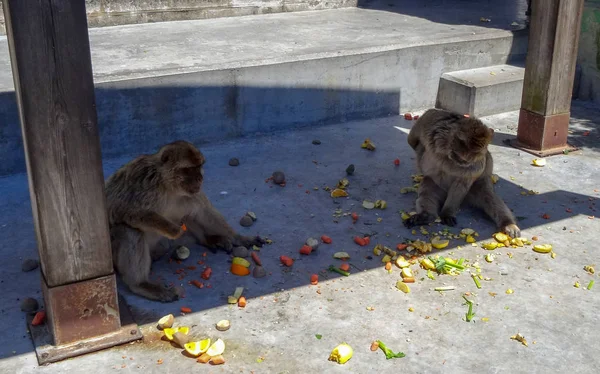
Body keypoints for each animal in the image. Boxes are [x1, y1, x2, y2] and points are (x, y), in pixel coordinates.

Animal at [105, 140, 264, 300]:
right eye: (188, 169)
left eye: (199, 167)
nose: (200, 178)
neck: (168, 187)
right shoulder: (143, 184)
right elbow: (122, 212)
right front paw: (172, 229)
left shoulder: (193, 193)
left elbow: (204, 213)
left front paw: (239, 238)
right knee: (129, 231)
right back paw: (140, 284)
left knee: (189, 215)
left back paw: (207, 239)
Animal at [406, 108, 524, 237]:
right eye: (463, 145)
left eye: (475, 153)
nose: (466, 159)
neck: (448, 157)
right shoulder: (430, 123)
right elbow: (413, 139)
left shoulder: (475, 165)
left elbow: (462, 184)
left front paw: (447, 212)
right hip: (437, 186)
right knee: (427, 188)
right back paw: (426, 216)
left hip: (476, 188)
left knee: (489, 197)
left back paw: (508, 224)